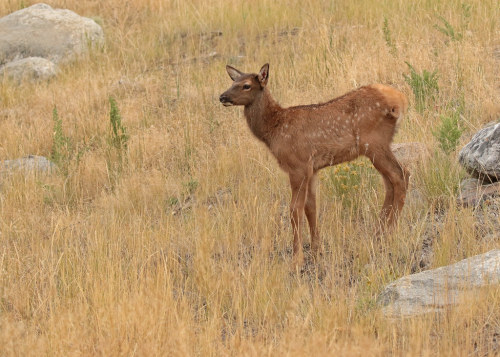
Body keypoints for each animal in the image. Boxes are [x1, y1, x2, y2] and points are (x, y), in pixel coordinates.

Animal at [221, 62, 408, 266]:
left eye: (246, 85)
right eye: (233, 81)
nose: (222, 97)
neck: (274, 130)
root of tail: (399, 100)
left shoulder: (298, 165)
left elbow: (295, 209)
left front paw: (297, 257)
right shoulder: (312, 169)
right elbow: (311, 207)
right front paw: (316, 250)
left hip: (375, 142)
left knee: (400, 174)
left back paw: (391, 232)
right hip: (379, 145)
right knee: (391, 182)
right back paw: (378, 232)